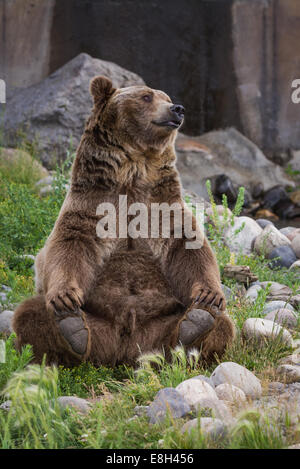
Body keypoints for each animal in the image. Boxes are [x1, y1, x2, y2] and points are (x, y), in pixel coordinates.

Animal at [12, 77, 236, 368]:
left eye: (166, 97)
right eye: (146, 96)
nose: (177, 109)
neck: (133, 174)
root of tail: (126, 351)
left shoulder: (162, 206)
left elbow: (188, 246)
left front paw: (209, 295)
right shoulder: (92, 204)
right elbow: (69, 245)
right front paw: (64, 297)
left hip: (158, 328)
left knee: (223, 324)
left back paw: (195, 324)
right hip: (100, 327)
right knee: (29, 314)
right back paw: (72, 328)